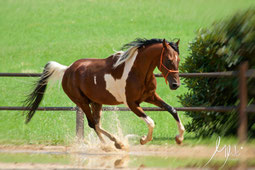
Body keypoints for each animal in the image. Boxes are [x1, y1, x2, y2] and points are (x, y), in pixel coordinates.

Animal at [24, 38, 185, 149]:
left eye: (178, 60)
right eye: (169, 60)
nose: (175, 85)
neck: (137, 71)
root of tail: (67, 69)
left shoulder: (151, 97)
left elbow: (172, 110)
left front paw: (179, 138)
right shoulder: (132, 103)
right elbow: (151, 122)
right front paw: (143, 139)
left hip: (96, 102)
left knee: (96, 123)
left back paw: (115, 142)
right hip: (82, 102)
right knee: (92, 124)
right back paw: (112, 144)